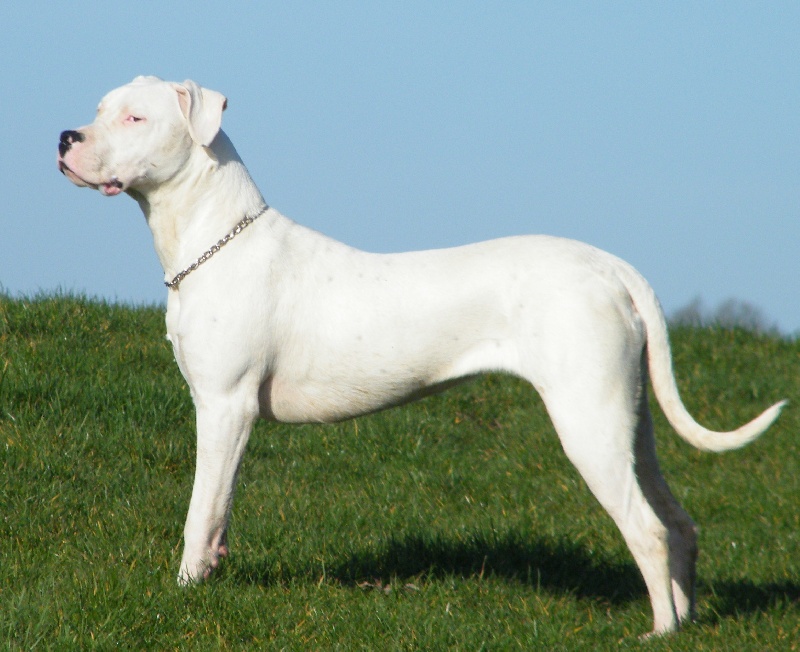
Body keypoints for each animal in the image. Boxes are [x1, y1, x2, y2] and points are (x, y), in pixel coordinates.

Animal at [57, 75, 788, 632]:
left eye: (135, 116)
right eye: (97, 107)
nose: (66, 138)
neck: (215, 237)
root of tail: (609, 267)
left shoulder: (224, 407)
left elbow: (200, 509)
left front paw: (184, 591)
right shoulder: (225, 412)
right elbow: (219, 513)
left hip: (589, 422)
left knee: (647, 529)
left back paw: (658, 631)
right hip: (630, 422)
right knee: (679, 524)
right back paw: (685, 622)